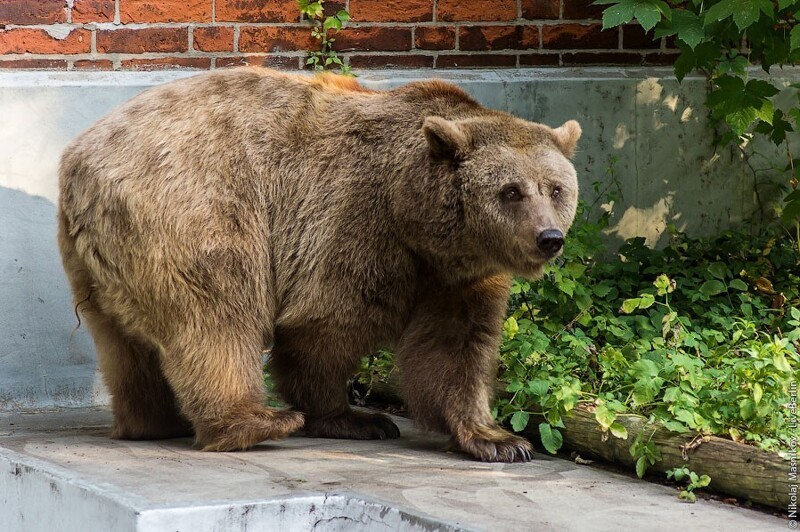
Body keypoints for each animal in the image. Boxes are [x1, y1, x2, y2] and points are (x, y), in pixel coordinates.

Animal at [57, 68, 580, 464]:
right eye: (511, 191)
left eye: (555, 188)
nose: (549, 238)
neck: (416, 219)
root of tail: (79, 161)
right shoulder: (353, 220)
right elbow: (326, 324)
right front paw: (354, 416)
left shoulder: (458, 277)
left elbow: (455, 348)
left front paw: (499, 440)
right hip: (192, 206)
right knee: (216, 312)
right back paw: (256, 421)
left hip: (102, 262)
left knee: (126, 347)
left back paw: (152, 422)